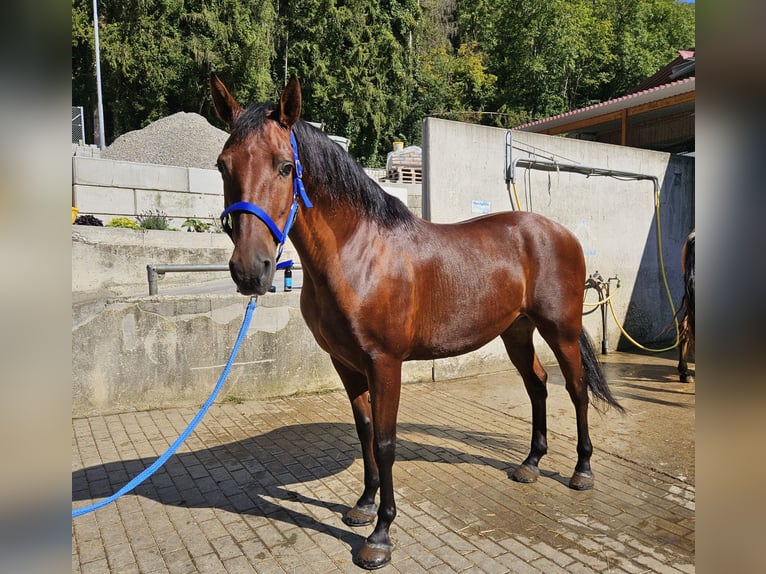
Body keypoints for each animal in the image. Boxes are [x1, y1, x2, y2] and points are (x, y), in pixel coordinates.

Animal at [210, 73, 624, 572]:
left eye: (286, 167)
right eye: (222, 166)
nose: (250, 270)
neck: (358, 252)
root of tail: (562, 233)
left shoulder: (385, 363)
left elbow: (386, 442)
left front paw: (380, 536)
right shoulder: (347, 364)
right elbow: (365, 432)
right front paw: (363, 505)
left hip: (559, 330)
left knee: (576, 389)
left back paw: (582, 470)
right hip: (516, 331)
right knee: (538, 385)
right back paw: (530, 464)